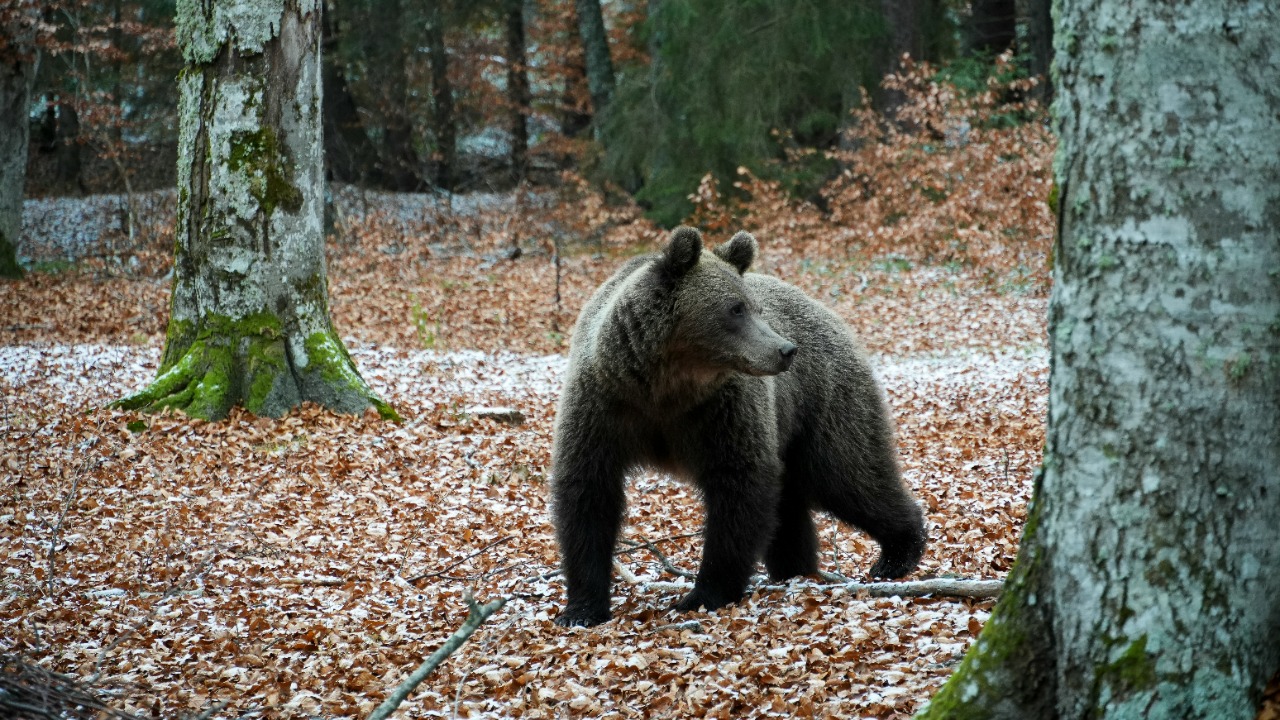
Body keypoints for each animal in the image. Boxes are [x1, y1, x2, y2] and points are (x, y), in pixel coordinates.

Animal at [550, 226, 926, 627]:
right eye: (736, 308)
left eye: (753, 306)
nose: (786, 350)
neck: (665, 388)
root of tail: (826, 310)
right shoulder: (605, 407)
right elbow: (588, 492)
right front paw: (581, 608)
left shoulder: (722, 412)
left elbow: (738, 487)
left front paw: (703, 594)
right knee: (795, 499)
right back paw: (794, 567)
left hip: (822, 399)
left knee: (848, 473)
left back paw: (897, 554)